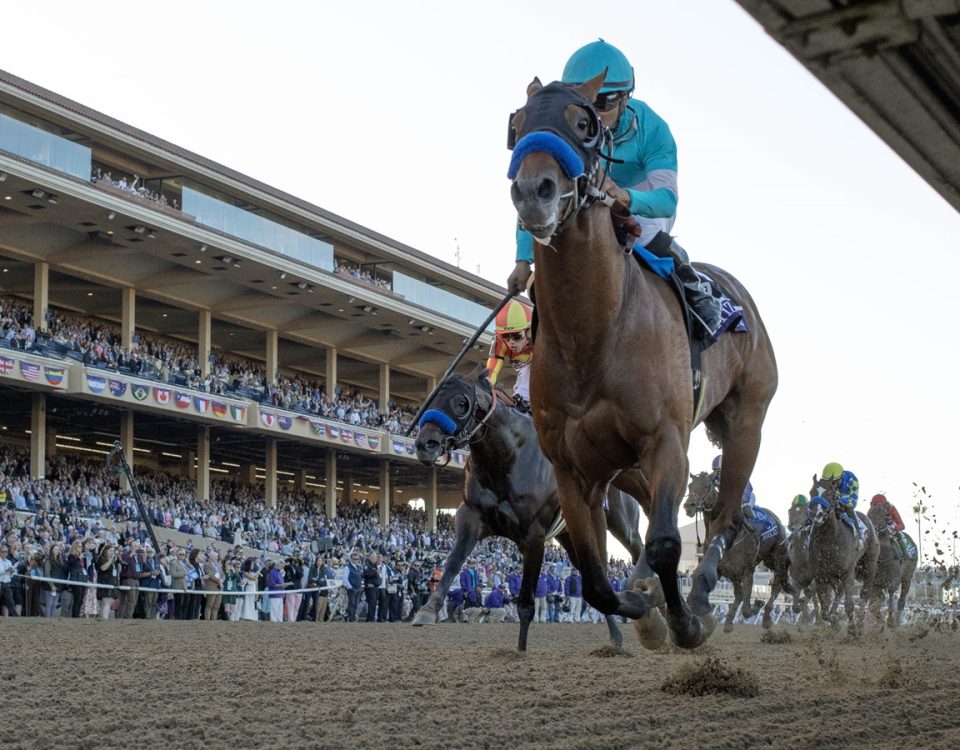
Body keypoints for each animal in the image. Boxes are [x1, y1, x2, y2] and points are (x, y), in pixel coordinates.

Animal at [410, 370, 644, 652]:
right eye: (430, 398)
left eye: (461, 403)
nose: (425, 444)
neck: (507, 457)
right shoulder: (472, 515)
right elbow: (454, 561)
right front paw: (427, 610)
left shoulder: (534, 532)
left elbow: (525, 602)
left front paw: (520, 651)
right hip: (570, 535)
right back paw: (617, 636)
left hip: (623, 522)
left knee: (639, 550)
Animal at [506, 72, 776, 652]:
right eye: (516, 125)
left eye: (583, 123)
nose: (533, 190)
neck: (593, 333)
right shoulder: (572, 469)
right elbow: (594, 579)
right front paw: (643, 607)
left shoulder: (667, 440)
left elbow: (667, 543)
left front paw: (684, 622)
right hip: (621, 468)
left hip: (746, 423)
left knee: (725, 515)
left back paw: (701, 593)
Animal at [684, 472, 788, 632]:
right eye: (690, 486)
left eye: (707, 485)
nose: (689, 506)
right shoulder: (721, 569)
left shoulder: (747, 570)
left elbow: (746, 610)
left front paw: (758, 604)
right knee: (739, 595)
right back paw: (729, 622)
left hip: (778, 558)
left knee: (776, 586)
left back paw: (766, 618)